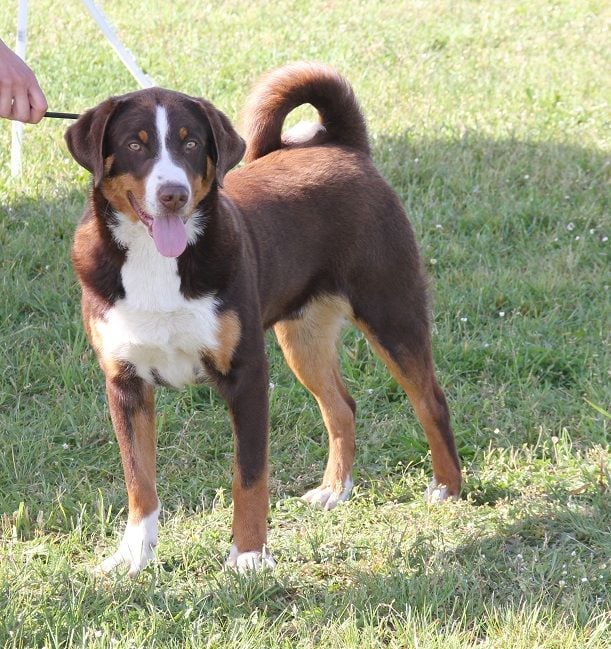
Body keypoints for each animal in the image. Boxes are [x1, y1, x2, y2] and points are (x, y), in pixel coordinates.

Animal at [65, 63, 460, 576]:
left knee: (430, 399)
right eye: (136, 144)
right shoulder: (125, 383)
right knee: (341, 407)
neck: (156, 262)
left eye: (191, 143)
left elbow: (249, 477)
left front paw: (249, 555)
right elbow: (140, 482)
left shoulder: (247, 375)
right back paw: (334, 489)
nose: (173, 194)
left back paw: (448, 486)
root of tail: (342, 145)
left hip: (390, 311)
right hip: (304, 337)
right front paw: (133, 556)